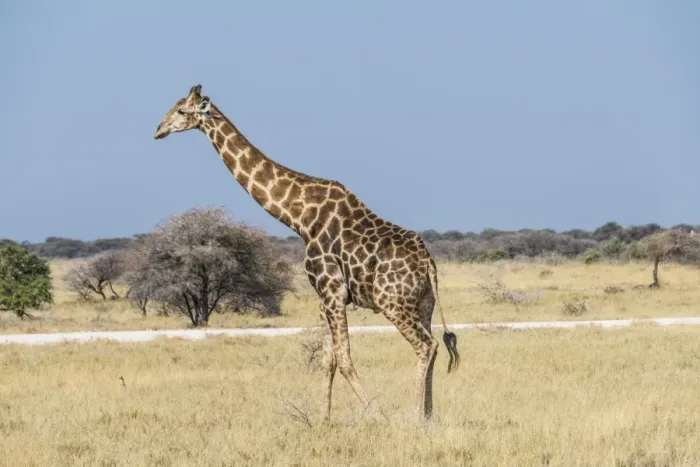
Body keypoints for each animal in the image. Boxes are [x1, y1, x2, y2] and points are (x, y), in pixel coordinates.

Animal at [154, 85, 460, 422]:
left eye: (182, 111)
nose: (158, 130)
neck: (298, 216)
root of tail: (428, 264)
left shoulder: (331, 289)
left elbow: (344, 359)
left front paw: (377, 415)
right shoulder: (325, 297)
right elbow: (329, 361)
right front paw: (324, 420)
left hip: (391, 302)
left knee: (425, 345)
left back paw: (415, 417)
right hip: (424, 303)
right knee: (433, 345)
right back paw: (427, 416)